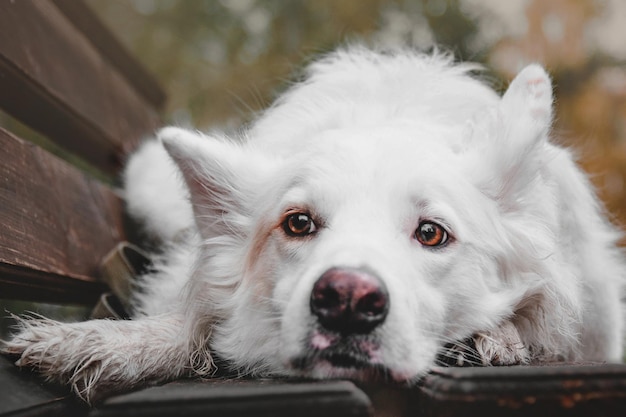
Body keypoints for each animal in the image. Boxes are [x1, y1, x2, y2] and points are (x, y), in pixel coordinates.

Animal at [2, 47, 620, 402]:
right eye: (298, 224)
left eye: (431, 233)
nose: (347, 299)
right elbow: (190, 319)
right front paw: (110, 342)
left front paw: (504, 334)